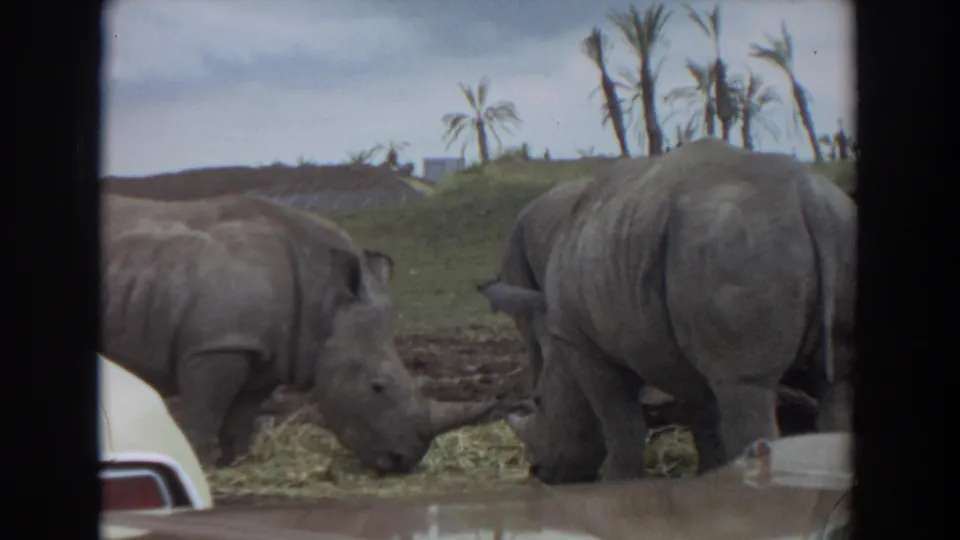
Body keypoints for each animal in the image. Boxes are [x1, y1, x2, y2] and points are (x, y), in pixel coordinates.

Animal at [101, 194, 508, 473]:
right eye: (377, 387)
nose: (402, 460)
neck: (325, 300)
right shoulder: (218, 343)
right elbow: (207, 409)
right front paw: (203, 465)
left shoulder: (263, 351)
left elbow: (242, 415)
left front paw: (237, 463)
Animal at [478, 138, 857, 483]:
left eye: (539, 401)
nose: (538, 471)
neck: (559, 353)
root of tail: (809, 195)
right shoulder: (675, 338)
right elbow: (703, 414)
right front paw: (708, 475)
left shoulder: (582, 343)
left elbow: (621, 420)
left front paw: (617, 481)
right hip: (835, 227)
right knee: (836, 382)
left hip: (735, 243)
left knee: (747, 388)